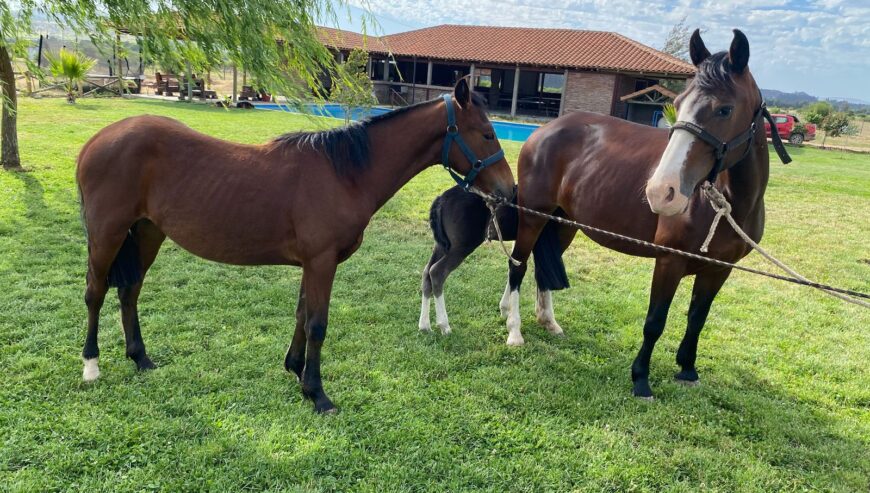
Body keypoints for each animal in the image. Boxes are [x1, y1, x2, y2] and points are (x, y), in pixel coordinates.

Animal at [78, 80, 516, 412]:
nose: (508, 191)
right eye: (487, 133)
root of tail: (96, 141)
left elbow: (302, 315)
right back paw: (91, 365)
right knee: (96, 293)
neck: (344, 175)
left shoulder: (310, 263)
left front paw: (295, 369)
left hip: (147, 232)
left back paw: (140, 358)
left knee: (130, 291)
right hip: (106, 235)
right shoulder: (322, 262)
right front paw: (317, 394)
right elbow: (317, 323)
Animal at [504, 28, 792, 398]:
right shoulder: (669, 261)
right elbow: (655, 320)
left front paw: (687, 369)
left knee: (541, 267)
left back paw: (547, 321)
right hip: (534, 215)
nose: (661, 191)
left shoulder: (719, 269)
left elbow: (697, 318)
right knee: (518, 264)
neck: (726, 205)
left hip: (563, 223)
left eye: (725, 109)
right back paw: (514, 329)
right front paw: (641, 378)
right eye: (678, 104)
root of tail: (544, 132)